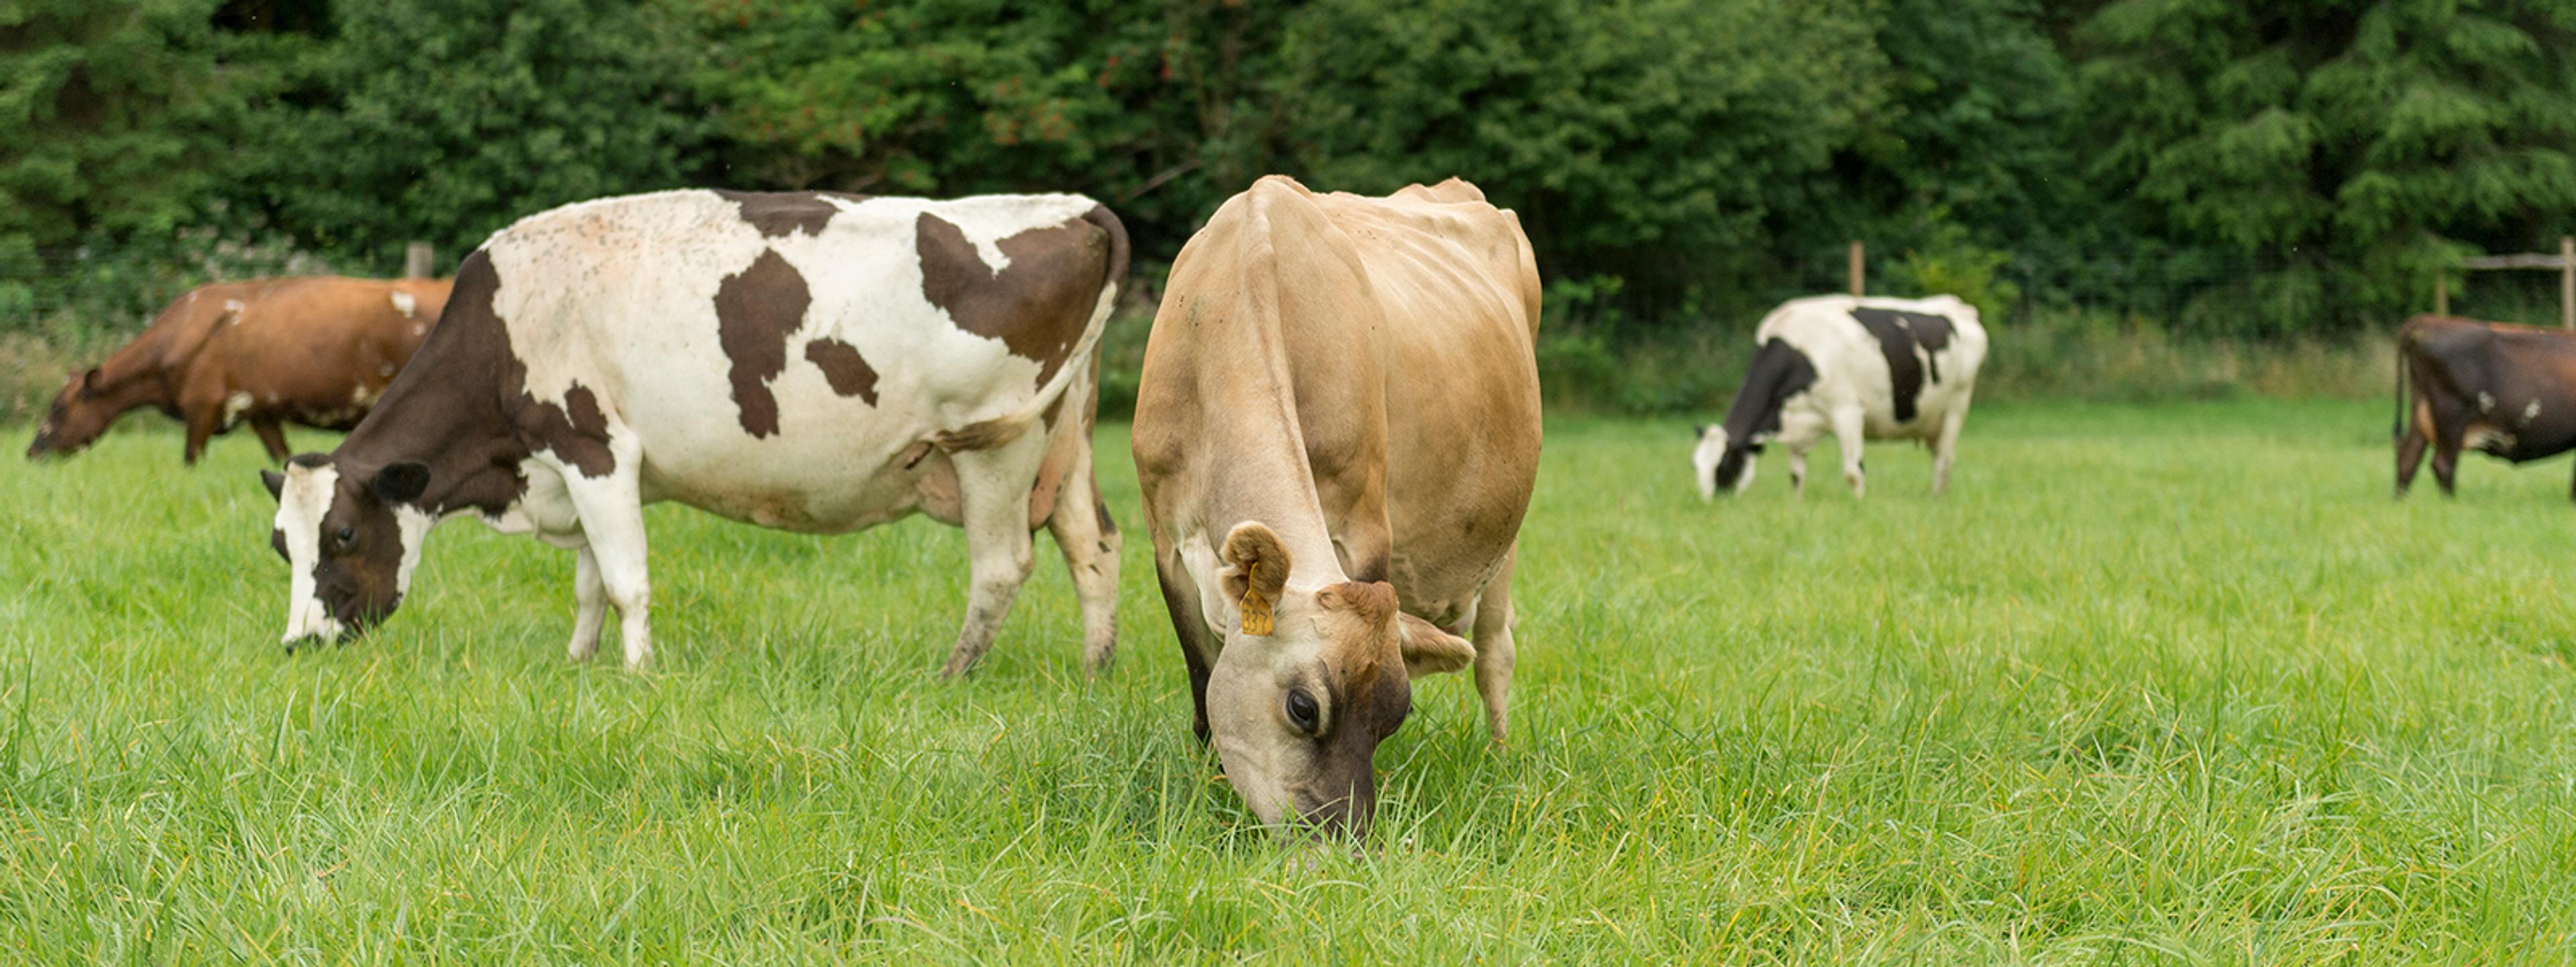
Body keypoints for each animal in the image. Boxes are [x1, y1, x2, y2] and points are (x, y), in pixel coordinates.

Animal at [25, 276, 453, 466]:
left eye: (58, 408)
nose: (32, 451)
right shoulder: (260, 412)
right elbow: (282, 457)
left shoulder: (202, 407)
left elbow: (190, 460)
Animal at [258, 187, 1128, 675]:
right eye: (280, 544)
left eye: (341, 534)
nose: (298, 643)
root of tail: (1069, 206)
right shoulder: (574, 473)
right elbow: (588, 585)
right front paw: (577, 663)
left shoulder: (594, 448)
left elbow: (625, 580)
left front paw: (638, 674)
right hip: (1065, 443)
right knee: (1094, 546)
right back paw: (1096, 671)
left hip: (997, 444)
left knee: (1003, 566)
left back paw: (954, 672)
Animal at [1138, 176, 1535, 840]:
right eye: (1304, 707)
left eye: (1395, 716)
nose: (1346, 843)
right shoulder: (1165, 540)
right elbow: (1202, 686)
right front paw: (1211, 787)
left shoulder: (1363, 530)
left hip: (1505, 541)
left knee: (1495, 654)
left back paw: (1502, 761)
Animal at [1690, 295, 1988, 500]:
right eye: (1696, 466)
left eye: (1725, 466)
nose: (1709, 503)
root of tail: (1959, 306)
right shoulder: (1797, 420)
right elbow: (1796, 475)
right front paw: (1797, 504)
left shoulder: (1848, 410)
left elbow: (1853, 472)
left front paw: (1860, 505)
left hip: (1956, 406)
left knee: (1944, 459)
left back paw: (1936, 499)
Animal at [2380, 315, 2576, 500]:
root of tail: (2429, 320)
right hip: (2451, 416)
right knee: (2443, 464)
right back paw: (2450, 503)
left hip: (2422, 411)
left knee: (2408, 460)